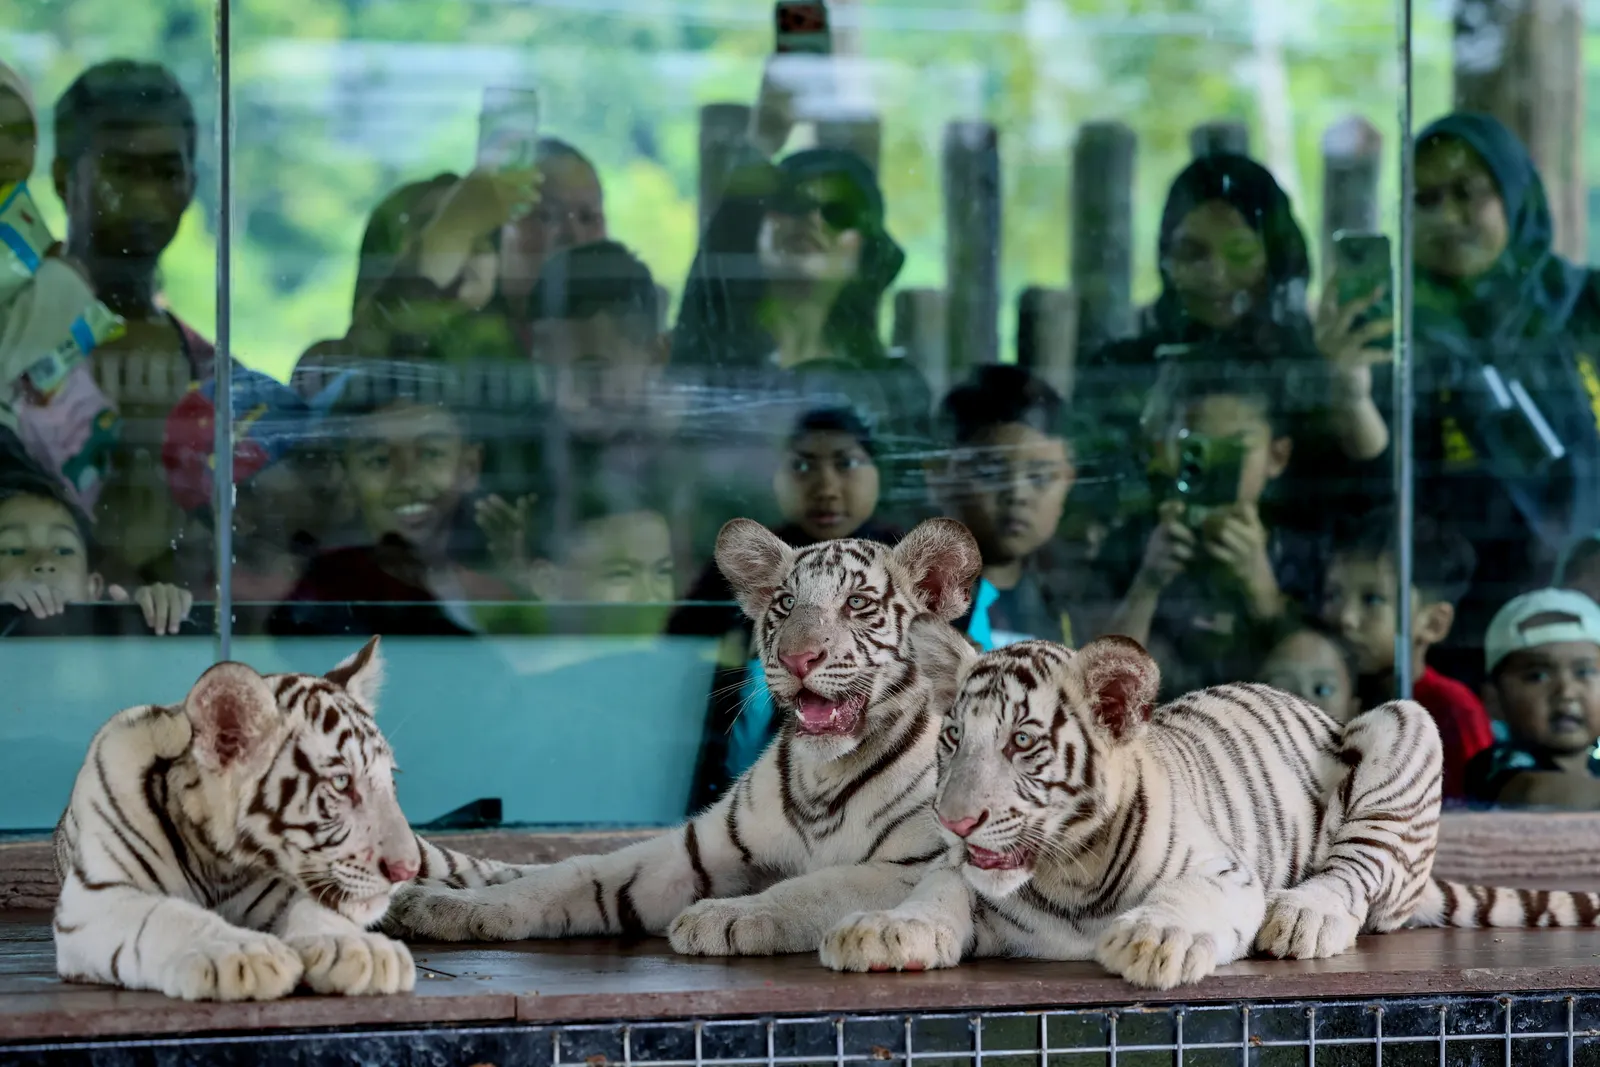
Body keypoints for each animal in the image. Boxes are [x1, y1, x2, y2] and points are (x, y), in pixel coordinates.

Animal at [52, 636, 511, 1001]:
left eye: (389, 780)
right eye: (341, 782)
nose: (404, 871)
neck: (219, 861)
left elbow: (319, 909)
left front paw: (357, 948)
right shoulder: (97, 898)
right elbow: (166, 916)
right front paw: (242, 955)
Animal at [380, 516, 983, 956]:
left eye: (857, 604)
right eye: (785, 603)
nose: (797, 658)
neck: (825, 773)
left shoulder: (914, 866)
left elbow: (817, 885)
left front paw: (727, 916)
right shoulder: (693, 852)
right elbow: (574, 875)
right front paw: (447, 907)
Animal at [821, 634, 1600, 989]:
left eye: (1021, 742)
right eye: (953, 738)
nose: (955, 822)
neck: (1068, 872)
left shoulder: (1225, 870)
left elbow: (1186, 895)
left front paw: (1155, 939)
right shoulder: (964, 872)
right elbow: (939, 887)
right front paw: (883, 929)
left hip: (1403, 722)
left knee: (1362, 871)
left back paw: (1304, 915)